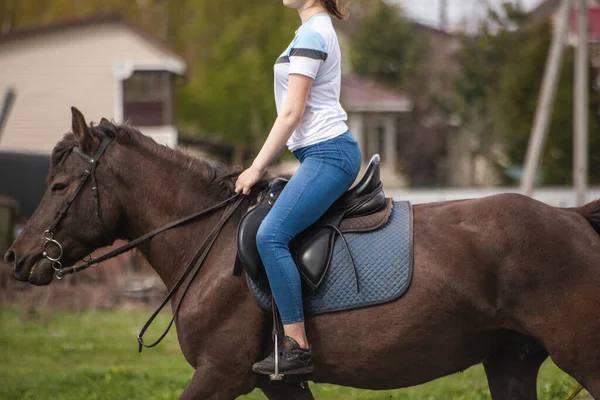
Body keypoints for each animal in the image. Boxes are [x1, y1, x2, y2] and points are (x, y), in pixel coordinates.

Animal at [4, 107, 600, 400]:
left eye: (60, 186)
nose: (15, 257)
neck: (209, 241)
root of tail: (572, 216)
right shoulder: (276, 385)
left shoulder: (220, 375)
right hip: (510, 361)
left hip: (582, 356)